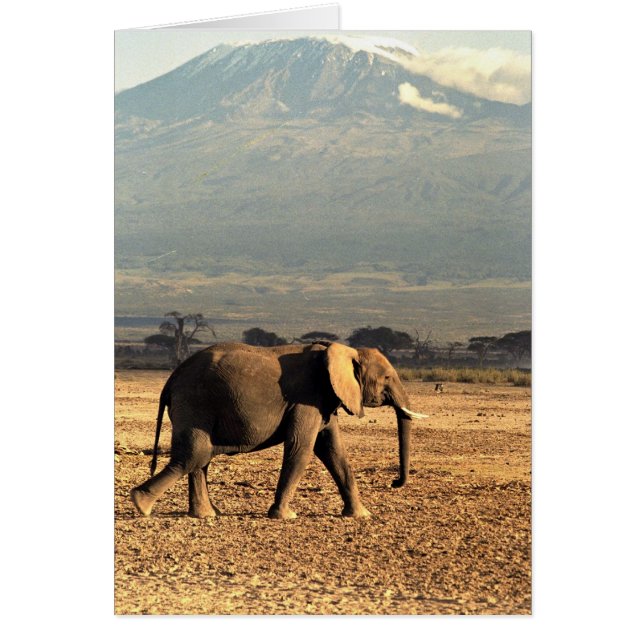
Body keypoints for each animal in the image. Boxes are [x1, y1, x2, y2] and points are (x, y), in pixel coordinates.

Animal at [130, 341, 427, 520]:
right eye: (387, 378)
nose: (394, 482)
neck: (342, 349)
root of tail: (171, 378)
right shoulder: (307, 397)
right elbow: (302, 449)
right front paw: (285, 516)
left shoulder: (325, 399)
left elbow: (334, 452)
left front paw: (360, 515)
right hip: (195, 402)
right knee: (195, 454)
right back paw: (141, 504)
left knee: (201, 458)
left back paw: (206, 514)